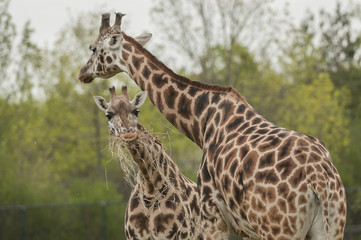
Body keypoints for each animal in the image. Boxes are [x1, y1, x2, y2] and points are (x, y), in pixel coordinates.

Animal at [93, 85, 205, 239]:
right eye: (108, 115)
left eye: (136, 111)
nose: (128, 133)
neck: (150, 190)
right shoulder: (134, 236)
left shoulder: (182, 235)